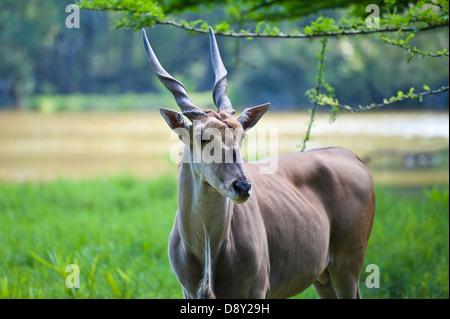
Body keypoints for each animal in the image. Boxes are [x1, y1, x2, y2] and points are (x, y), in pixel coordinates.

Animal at [142, 27, 374, 300]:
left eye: (241, 135)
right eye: (203, 137)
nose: (242, 187)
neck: (209, 250)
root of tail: (353, 156)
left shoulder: (257, 289)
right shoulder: (188, 292)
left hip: (348, 265)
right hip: (323, 276)